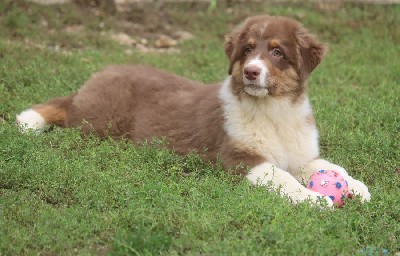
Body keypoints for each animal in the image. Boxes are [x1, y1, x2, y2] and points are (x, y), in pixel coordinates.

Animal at [16, 15, 372, 206]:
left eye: (277, 52)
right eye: (247, 50)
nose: (250, 72)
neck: (274, 110)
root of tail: (93, 79)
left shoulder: (301, 153)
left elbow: (328, 166)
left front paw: (356, 186)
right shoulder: (238, 158)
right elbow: (281, 176)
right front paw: (314, 199)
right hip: (100, 123)